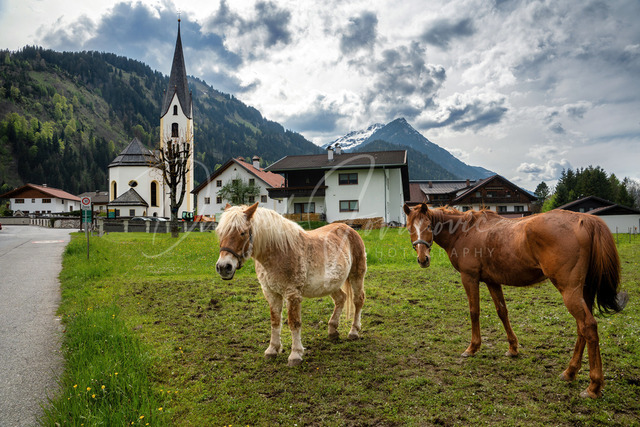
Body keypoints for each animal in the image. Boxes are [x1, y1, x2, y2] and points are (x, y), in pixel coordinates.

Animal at [215, 203, 367, 366]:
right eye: (220, 233)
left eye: (242, 233)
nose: (224, 267)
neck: (278, 252)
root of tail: (349, 229)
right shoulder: (271, 293)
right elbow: (275, 321)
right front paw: (272, 350)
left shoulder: (292, 294)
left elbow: (294, 322)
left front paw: (295, 355)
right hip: (332, 283)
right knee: (341, 299)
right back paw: (332, 331)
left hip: (356, 275)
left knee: (358, 300)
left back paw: (353, 331)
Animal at [403, 203, 628, 398]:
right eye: (409, 228)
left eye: (429, 226)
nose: (423, 259)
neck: (465, 231)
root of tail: (585, 219)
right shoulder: (492, 281)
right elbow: (502, 312)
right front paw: (513, 348)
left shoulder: (469, 278)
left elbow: (474, 312)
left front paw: (473, 347)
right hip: (584, 292)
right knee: (582, 328)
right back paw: (570, 372)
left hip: (569, 291)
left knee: (588, 326)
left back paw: (593, 386)